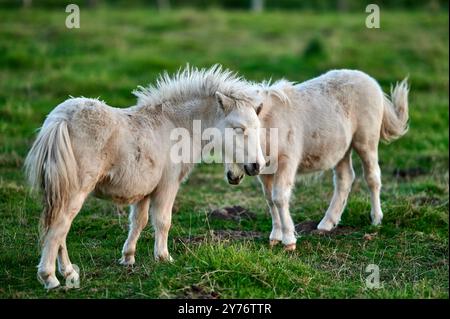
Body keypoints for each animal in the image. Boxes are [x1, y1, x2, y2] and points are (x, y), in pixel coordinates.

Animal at [25, 65, 268, 290]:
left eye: (258, 128)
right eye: (238, 128)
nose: (256, 166)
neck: (175, 124)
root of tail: (61, 119)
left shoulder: (144, 190)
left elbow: (138, 221)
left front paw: (128, 258)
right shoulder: (168, 185)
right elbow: (162, 221)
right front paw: (163, 257)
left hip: (62, 190)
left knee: (59, 230)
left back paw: (68, 273)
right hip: (75, 191)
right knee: (59, 227)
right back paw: (50, 277)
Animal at [227, 70, 410, 252]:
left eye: (243, 132)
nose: (232, 177)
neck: (271, 123)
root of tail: (371, 81)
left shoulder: (286, 161)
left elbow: (279, 197)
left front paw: (289, 241)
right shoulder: (264, 169)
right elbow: (269, 198)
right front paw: (275, 238)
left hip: (366, 141)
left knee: (372, 177)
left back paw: (376, 219)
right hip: (341, 149)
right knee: (345, 178)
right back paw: (326, 224)